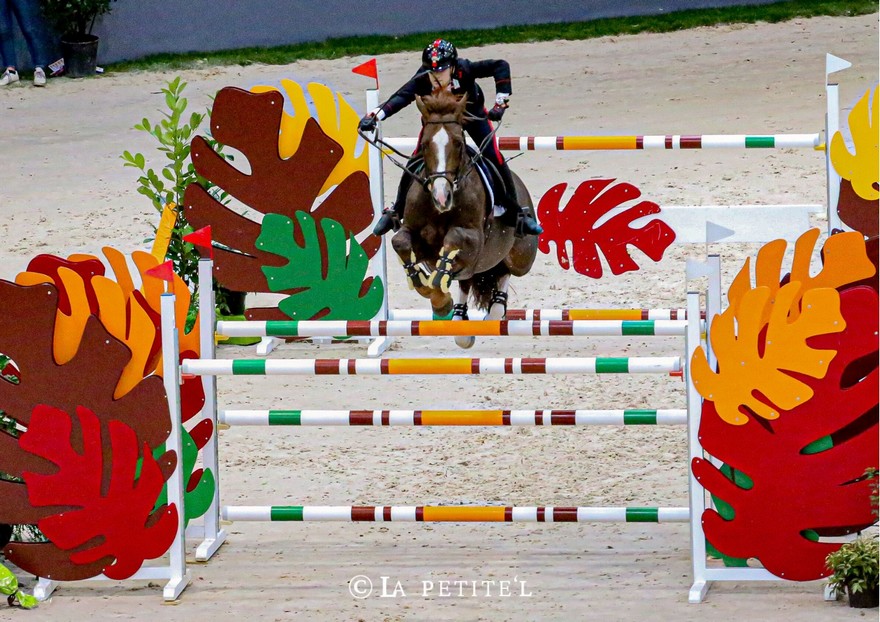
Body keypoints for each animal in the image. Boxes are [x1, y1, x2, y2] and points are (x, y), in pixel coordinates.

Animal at [390, 90, 540, 348]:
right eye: (424, 144)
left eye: (458, 143)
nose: (441, 196)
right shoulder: (415, 236)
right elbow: (402, 244)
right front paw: (439, 302)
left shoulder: (473, 239)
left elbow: (453, 241)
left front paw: (441, 301)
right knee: (465, 280)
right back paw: (459, 317)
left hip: (521, 257)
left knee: (503, 272)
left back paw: (495, 309)